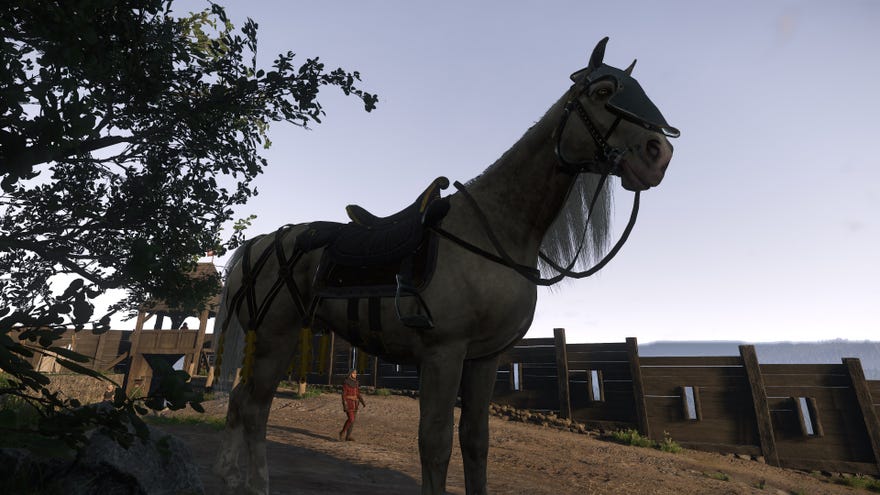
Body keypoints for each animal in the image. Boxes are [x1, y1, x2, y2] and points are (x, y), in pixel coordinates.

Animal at [210, 36, 676, 494]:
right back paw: (255, 484)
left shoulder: (484, 359)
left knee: (240, 402)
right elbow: (435, 445)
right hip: (275, 338)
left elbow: (475, 442)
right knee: (254, 407)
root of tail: (258, 244)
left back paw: (230, 475)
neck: (494, 230)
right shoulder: (443, 354)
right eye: (603, 92)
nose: (660, 153)